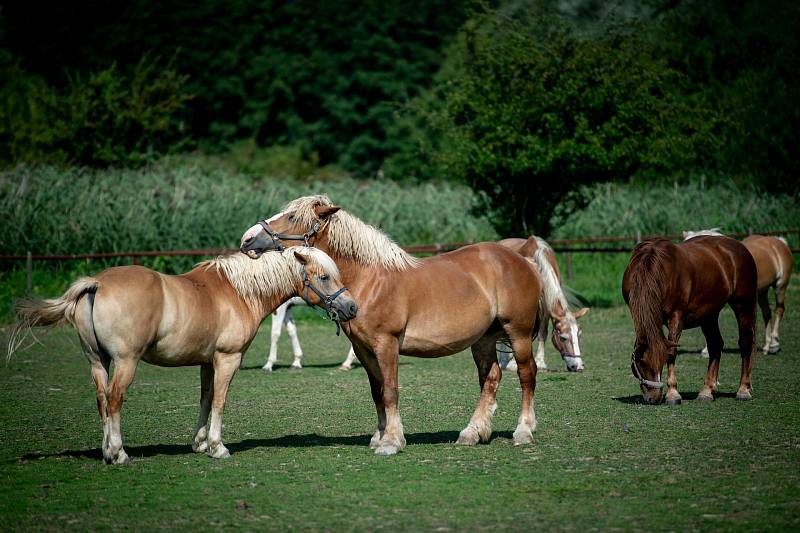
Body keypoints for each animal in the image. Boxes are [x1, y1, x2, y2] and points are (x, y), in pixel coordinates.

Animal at [7, 246, 356, 462]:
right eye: (324, 277)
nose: (351, 307)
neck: (239, 292)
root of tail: (97, 283)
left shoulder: (206, 362)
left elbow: (205, 398)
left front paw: (199, 443)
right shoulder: (228, 359)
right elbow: (220, 400)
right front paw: (217, 446)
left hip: (98, 362)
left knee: (102, 399)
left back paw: (107, 451)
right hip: (125, 362)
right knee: (115, 398)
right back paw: (118, 453)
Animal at [241, 194, 548, 454]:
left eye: (292, 216)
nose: (247, 239)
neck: (369, 279)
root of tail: (523, 260)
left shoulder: (386, 344)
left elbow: (390, 390)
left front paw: (391, 442)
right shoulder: (364, 349)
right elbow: (377, 392)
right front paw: (380, 437)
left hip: (518, 334)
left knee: (527, 374)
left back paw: (523, 431)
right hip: (483, 339)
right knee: (490, 378)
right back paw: (472, 433)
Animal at [496, 236, 584, 370]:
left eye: (578, 335)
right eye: (563, 338)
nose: (578, 366)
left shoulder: (547, 306)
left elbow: (543, 332)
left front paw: (540, 362)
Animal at [624, 235, 756, 406]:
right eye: (642, 363)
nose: (654, 397)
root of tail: (740, 246)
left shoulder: (677, 316)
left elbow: (672, 352)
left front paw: (673, 394)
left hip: (743, 305)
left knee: (745, 342)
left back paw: (743, 389)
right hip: (709, 314)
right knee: (715, 345)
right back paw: (707, 391)